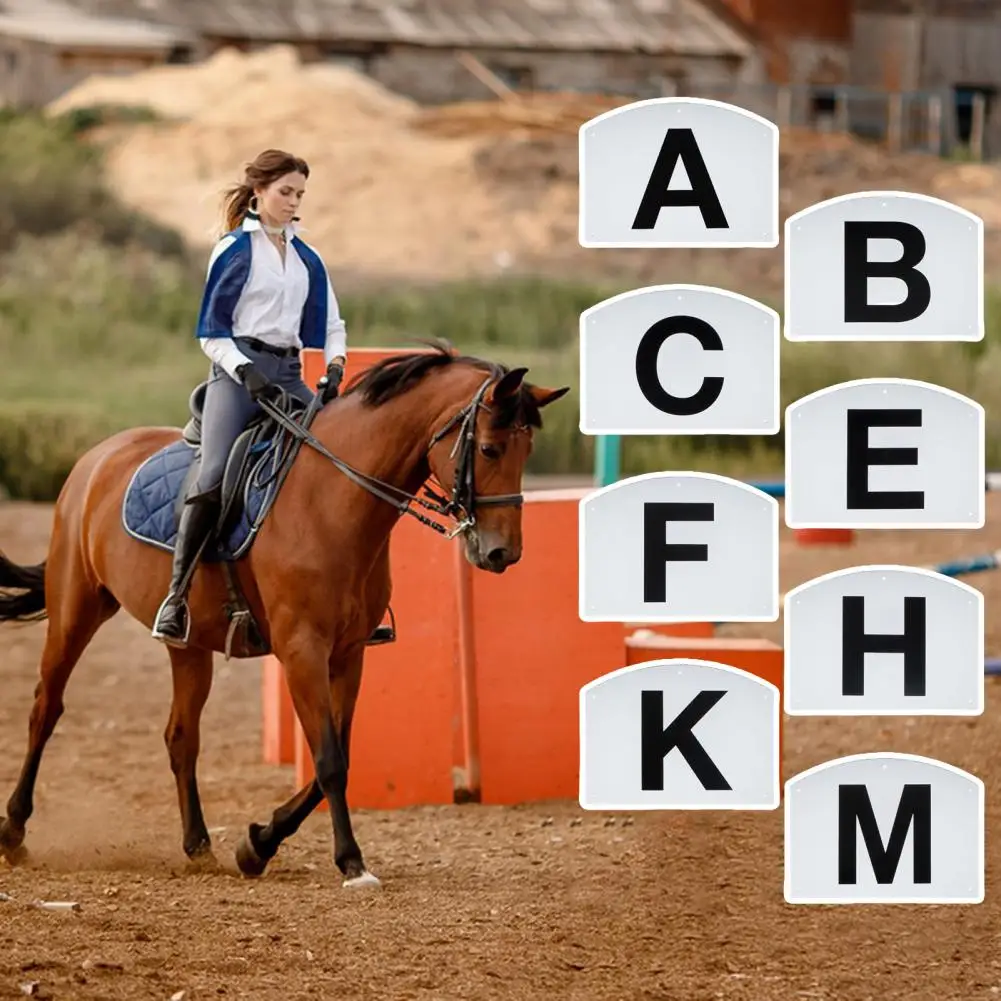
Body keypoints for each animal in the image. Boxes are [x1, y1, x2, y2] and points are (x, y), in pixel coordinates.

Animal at [0, 342, 568, 884]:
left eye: (527, 450)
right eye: (489, 448)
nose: (501, 553)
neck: (331, 500)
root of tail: (97, 456)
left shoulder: (348, 654)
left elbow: (334, 757)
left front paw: (257, 843)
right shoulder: (302, 651)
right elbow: (329, 760)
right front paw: (350, 861)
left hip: (188, 646)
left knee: (181, 737)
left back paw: (198, 845)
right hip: (77, 608)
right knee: (45, 708)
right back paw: (14, 832)